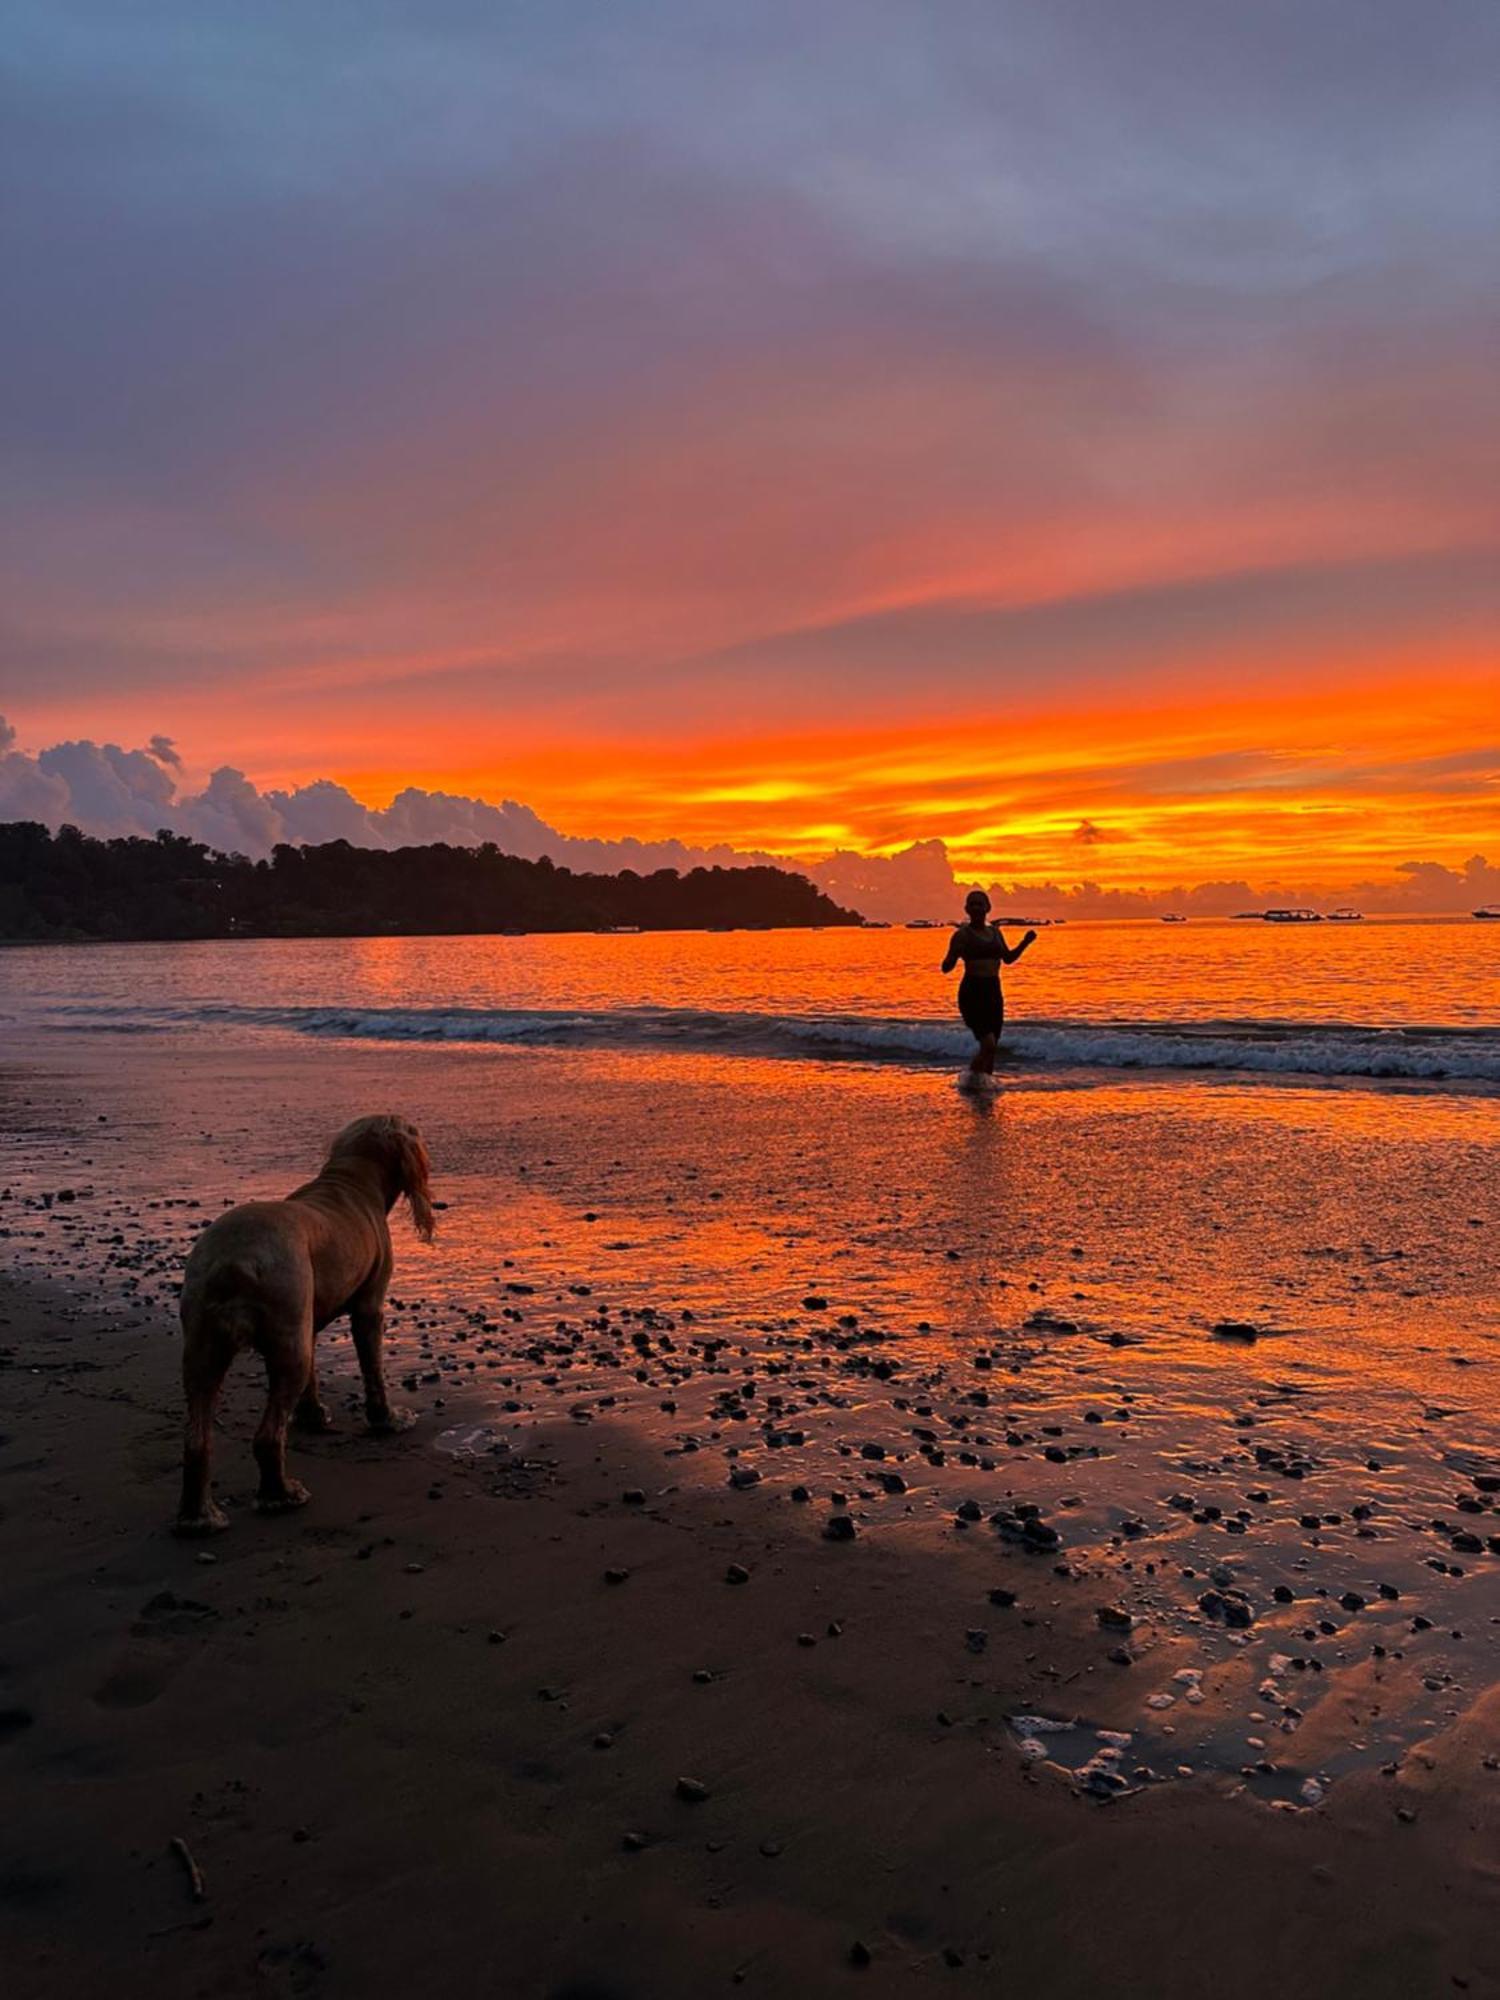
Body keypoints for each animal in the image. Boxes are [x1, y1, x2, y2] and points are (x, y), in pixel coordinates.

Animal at [177, 1112, 438, 1528]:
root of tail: (233, 1260)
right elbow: (373, 1369)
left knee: (197, 1437)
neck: (353, 1179)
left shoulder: (307, 1320)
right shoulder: (369, 1306)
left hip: (205, 1342)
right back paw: (281, 1494)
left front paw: (312, 1415)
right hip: (283, 1330)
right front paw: (388, 1419)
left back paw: (199, 1517)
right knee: (267, 1435)